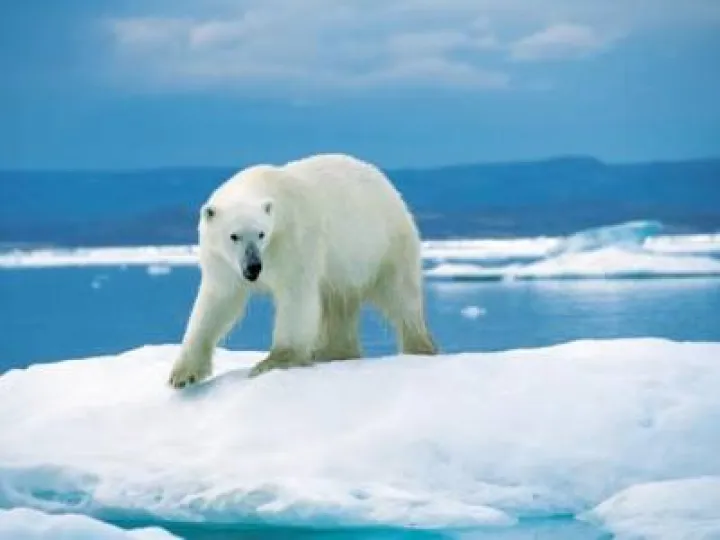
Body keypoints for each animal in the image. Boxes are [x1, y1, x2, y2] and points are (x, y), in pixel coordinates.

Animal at [168, 153, 437, 388]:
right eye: (234, 236)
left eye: (261, 234)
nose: (254, 267)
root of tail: (390, 188)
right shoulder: (222, 262)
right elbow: (217, 302)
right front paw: (182, 375)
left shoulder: (293, 238)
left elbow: (295, 295)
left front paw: (272, 362)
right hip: (344, 267)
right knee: (338, 303)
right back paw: (332, 351)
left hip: (383, 244)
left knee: (401, 296)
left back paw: (419, 347)